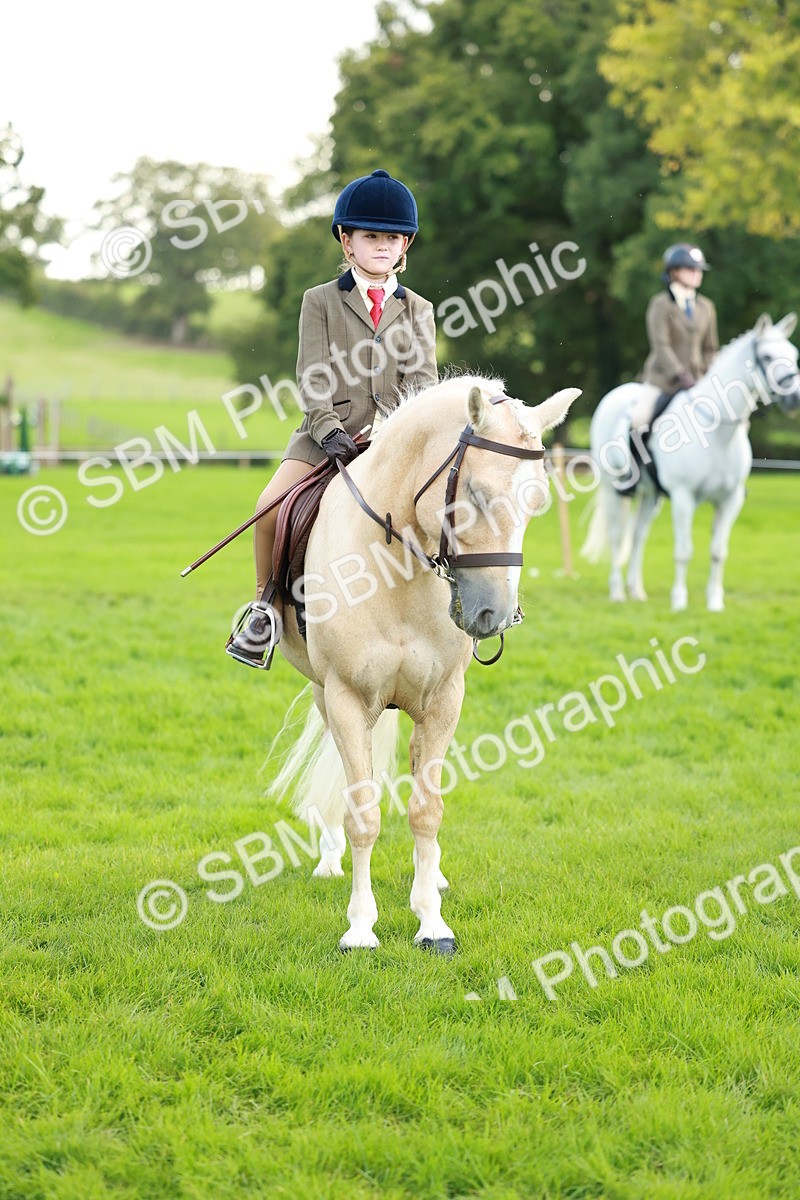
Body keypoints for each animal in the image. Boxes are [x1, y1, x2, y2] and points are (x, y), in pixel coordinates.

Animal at [268, 374, 580, 953]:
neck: (396, 570)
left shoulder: (443, 703)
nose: (493, 616)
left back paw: (431, 876)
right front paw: (360, 928)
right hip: (324, 694)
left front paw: (431, 921)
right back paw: (330, 857)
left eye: (538, 503)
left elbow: (427, 810)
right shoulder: (346, 697)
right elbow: (362, 813)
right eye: (476, 495)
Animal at [581, 314, 800, 611]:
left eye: (794, 356)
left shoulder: (730, 500)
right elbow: (683, 551)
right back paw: (617, 593)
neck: (717, 432)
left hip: (651, 496)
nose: (795, 398)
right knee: (618, 535)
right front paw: (679, 602)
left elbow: (718, 551)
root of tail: (616, 394)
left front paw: (715, 603)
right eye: (766, 357)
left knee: (638, 535)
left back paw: (636, 591)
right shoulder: (684, 497)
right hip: (613, 488)